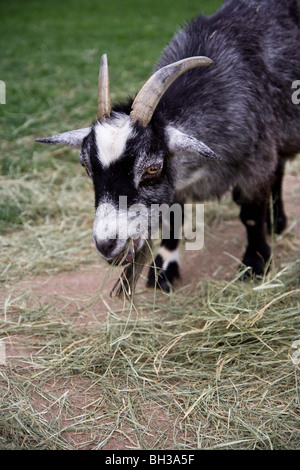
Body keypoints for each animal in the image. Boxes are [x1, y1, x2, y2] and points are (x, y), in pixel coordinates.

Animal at [37, 0, 300, 294]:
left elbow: (251, 214)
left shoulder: (257, 159)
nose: (106, 244)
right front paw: (163, 269)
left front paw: (255, 264)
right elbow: (173, 218)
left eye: (152, 168)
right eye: (86, 166)